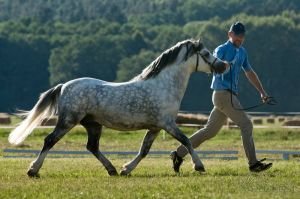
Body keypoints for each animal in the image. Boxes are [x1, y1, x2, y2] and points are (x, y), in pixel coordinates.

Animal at [8, 38, 226, 176]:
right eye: (206, 53)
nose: (224, 66)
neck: (164, 86)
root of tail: (63, 86)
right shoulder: (167, 124)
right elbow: (186, 141)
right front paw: (199, 166)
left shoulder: (155, 128)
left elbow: (144, 150)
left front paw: (126, 169)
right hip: (68, 121)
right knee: (50, 141)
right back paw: (33, 170)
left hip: (93, 124)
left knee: (92, 147)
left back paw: (112, 170)